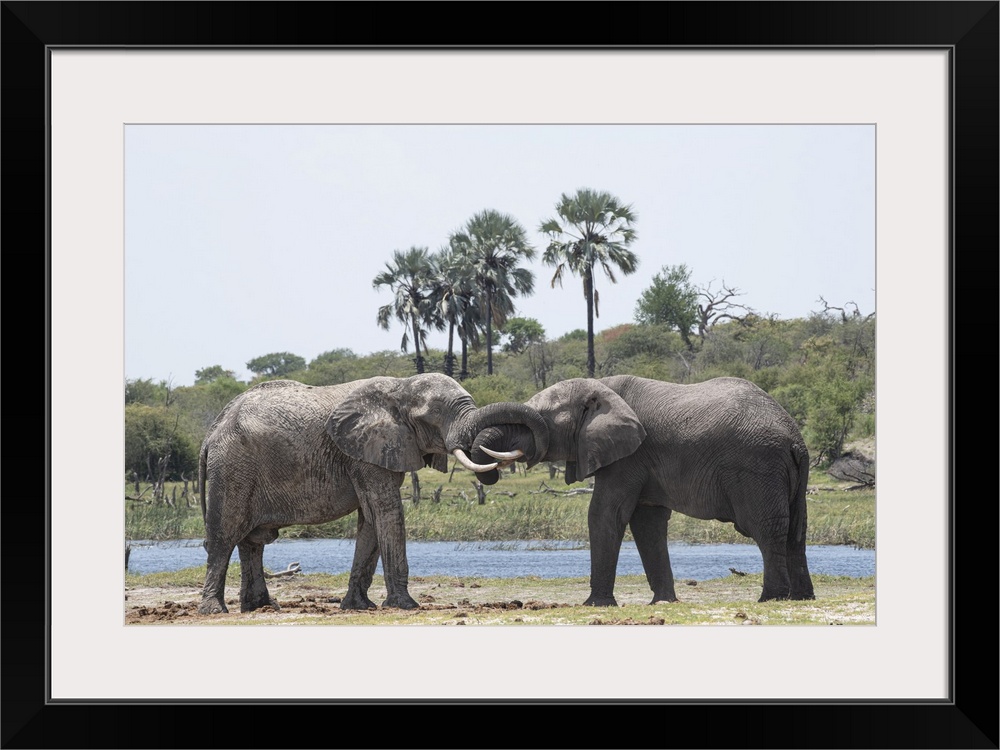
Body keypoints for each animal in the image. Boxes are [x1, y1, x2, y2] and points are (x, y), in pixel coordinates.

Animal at [196, 376, 552, 616]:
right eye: (434, 416)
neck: (400, 387)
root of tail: (211, 432)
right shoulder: (364, 453)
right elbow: (386, 512)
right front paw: (406, 605)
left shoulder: (380, 451)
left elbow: (370, 520)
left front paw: (359, 606)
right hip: (232, 467)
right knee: (225, 535)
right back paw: (215, 610)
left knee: (252, 541)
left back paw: (261, 607)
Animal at [468, 374, 812, 604]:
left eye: (540, 419)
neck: (601, 387)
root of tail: (795, 438)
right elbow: (647, 523)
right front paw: (664, 602)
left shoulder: (628, 456)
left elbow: (605, 514)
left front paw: (596, 605)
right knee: (796, 531)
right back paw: (801, 598)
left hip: (758, 468)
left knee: (766, 530)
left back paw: (771, 599)